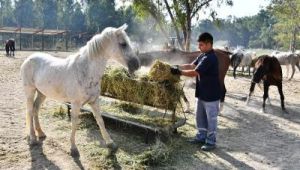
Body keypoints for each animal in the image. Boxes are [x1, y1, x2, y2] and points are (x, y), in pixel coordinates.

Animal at [21, 23, 141, 157]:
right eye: (123, 44)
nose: (136, 64)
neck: (86, 71)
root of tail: (29, 58)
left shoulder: (94, 101)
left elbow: (100, 121)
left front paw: (110, 143)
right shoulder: (76, 104)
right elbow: (74, 123)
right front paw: (73, 149)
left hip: (42, 93)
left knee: (35, 109)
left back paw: (41, 133)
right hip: (30, 91)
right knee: (30, 111)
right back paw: (32, 138)